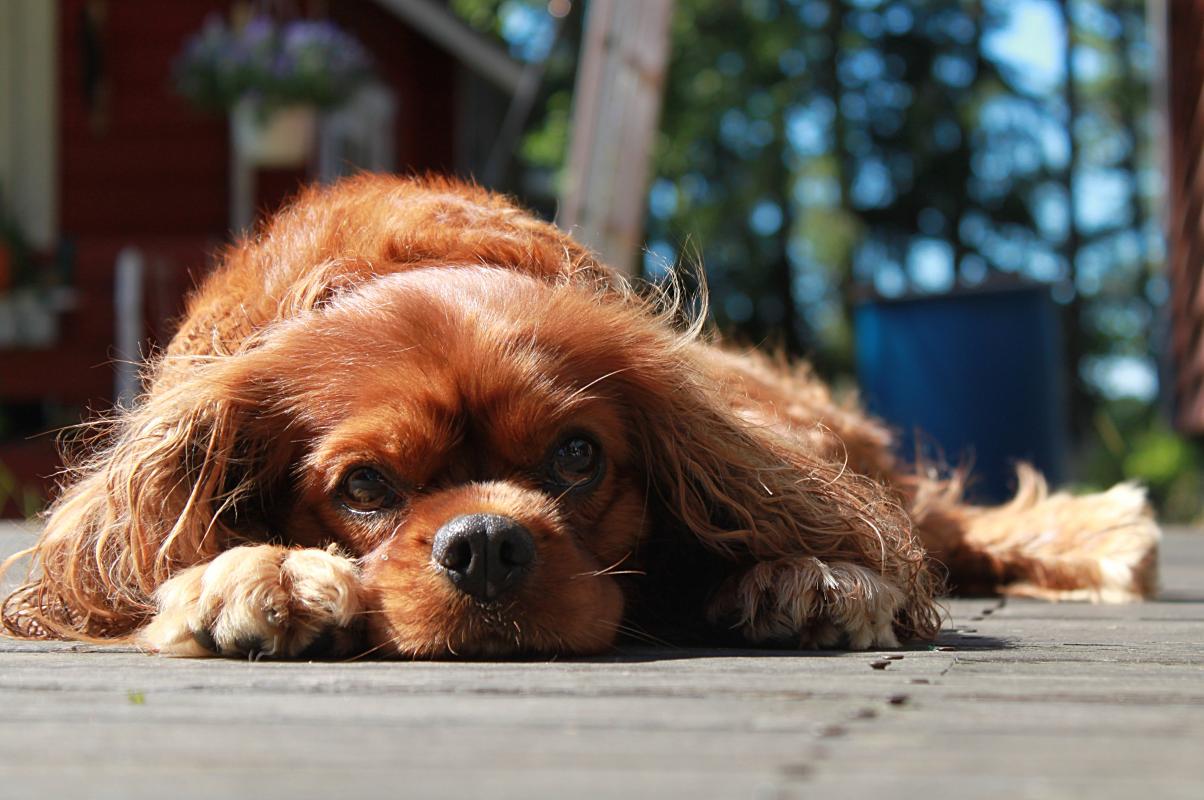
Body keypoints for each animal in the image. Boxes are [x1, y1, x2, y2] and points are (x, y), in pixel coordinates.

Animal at [1, 175, 1160, 658]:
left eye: (574, 458)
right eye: (365, 486)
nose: (485, 542)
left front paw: (815, 573)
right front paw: (259, 574)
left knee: (930, 521)